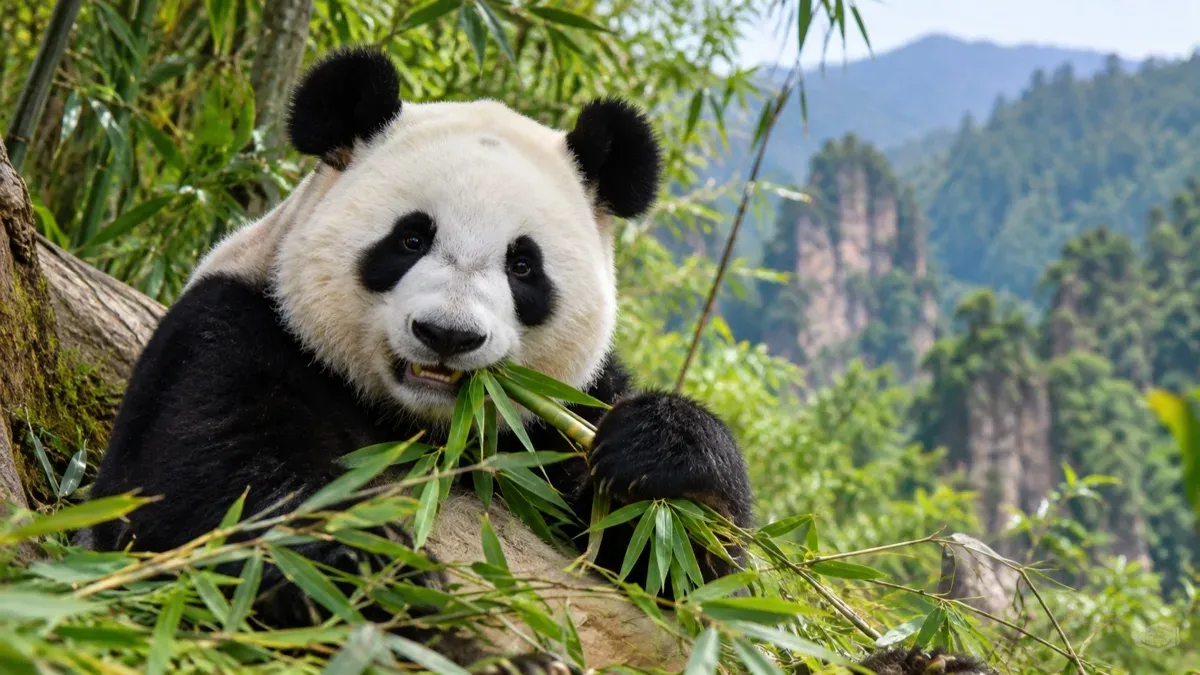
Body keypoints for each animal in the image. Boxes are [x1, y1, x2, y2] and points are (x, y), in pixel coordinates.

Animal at [84, 46, 755, 670]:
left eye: (522, 265)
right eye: (411, 238)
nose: (448, 335)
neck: (427, 429)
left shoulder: (558, 414)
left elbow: (689, 573)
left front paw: (658, 448)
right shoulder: (232, 331)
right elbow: (207, 499)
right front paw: (372, 561)